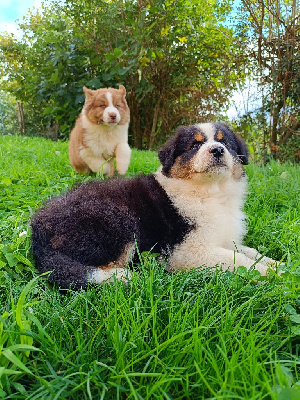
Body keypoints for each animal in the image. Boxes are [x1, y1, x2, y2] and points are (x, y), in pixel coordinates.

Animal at [31, 122, 278, 288]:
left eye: (225, 141)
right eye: (195, 144)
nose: (217, 150)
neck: (211, 193)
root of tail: (37, 230)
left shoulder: (223, 238)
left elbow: (249, 251)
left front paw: (277, 265)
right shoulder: (185, 250)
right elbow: (237, 259)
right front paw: (270, 275)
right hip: (116, 218)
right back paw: (125, 277)